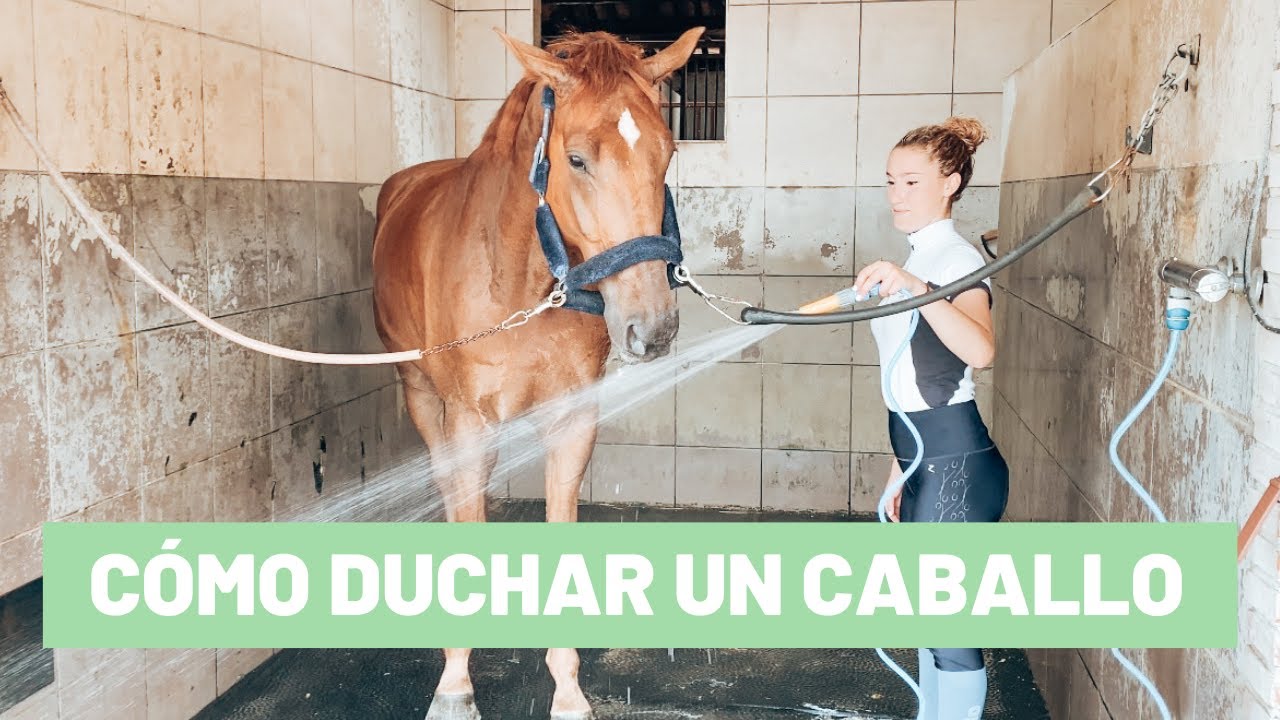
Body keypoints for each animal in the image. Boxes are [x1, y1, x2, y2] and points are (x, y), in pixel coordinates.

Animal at [371, 27, 705, 720]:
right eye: (576, 160)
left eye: (667, 154)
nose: (653, 329)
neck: (520, 276)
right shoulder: (467, 420)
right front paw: (455, 683)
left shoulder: (572, 418)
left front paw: (568, 690)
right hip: (421, 396)